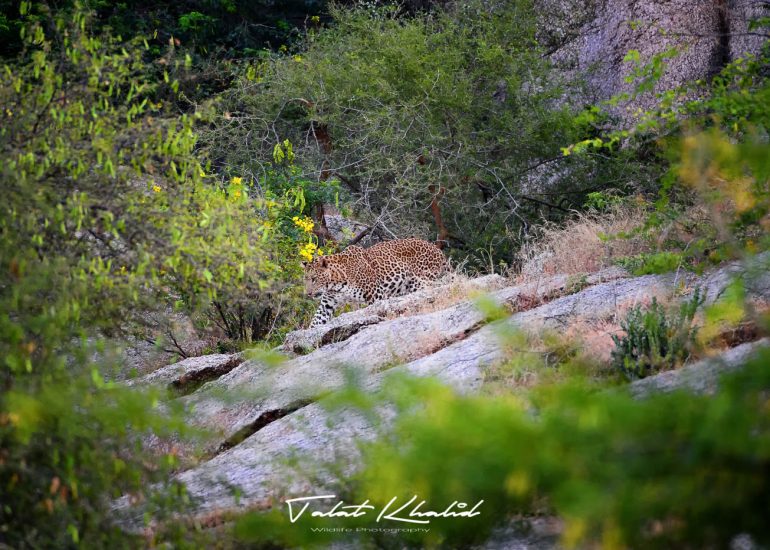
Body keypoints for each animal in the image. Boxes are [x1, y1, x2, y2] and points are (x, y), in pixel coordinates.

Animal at [303, 238, 449, 327]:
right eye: (305, 280)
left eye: (314, 278)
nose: (308, 294)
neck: (336, 283)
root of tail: (438, 250)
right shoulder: (327, 304)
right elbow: (316, 321)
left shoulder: (374, 295)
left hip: (419, 281)